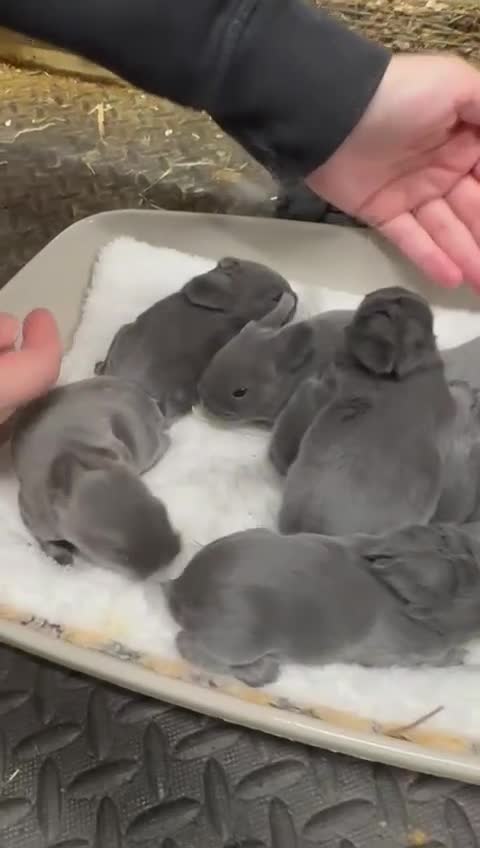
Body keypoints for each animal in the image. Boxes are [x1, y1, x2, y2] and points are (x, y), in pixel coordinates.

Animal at [11, 376, 181, 577]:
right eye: (119, 553)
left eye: (162, 509)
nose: (173, 554)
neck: (73, 461)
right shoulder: (35, 518)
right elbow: (44, 540)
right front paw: (60, 555)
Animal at [166, 522, 480, 686]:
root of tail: (181, 587)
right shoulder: (398, 656)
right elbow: (436, 659)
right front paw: (461, 656)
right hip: (242, 640)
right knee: (189, 646)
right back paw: (263, 672)